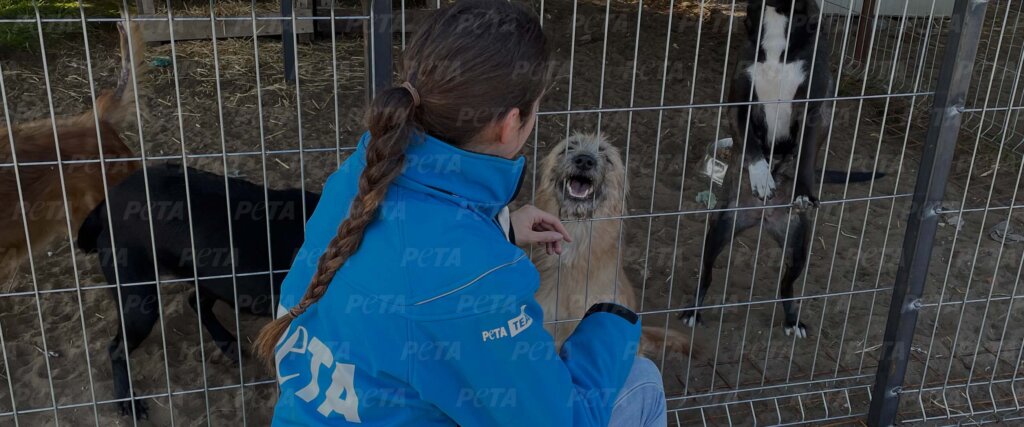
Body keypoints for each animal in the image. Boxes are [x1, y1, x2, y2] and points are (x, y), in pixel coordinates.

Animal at [76, 164, 319, 417]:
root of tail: (107, 202)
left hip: (213, 280)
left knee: (196, 302)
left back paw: (229, 345)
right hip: (140, 302)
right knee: (116, 348)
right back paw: (127, 401)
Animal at [679, 0, 880, 339]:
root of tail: (763, 219)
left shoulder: (816, 108)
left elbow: (806, 156)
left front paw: (802, 191)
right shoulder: (740, 100)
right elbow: (750, 145)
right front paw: (761, 176)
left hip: (798, 247)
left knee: (787, 286)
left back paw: (792, 321)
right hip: (719, 229)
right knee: (706, 275)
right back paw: (693, 310)